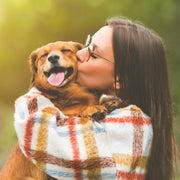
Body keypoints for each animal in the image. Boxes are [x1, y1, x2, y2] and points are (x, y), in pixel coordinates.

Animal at [0, 41, 114, 180]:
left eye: (65, 50)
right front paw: (92, 108)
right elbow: (72, 109)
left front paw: (110, 101)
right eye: (44, 55)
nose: (53, 58)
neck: (67, 92)